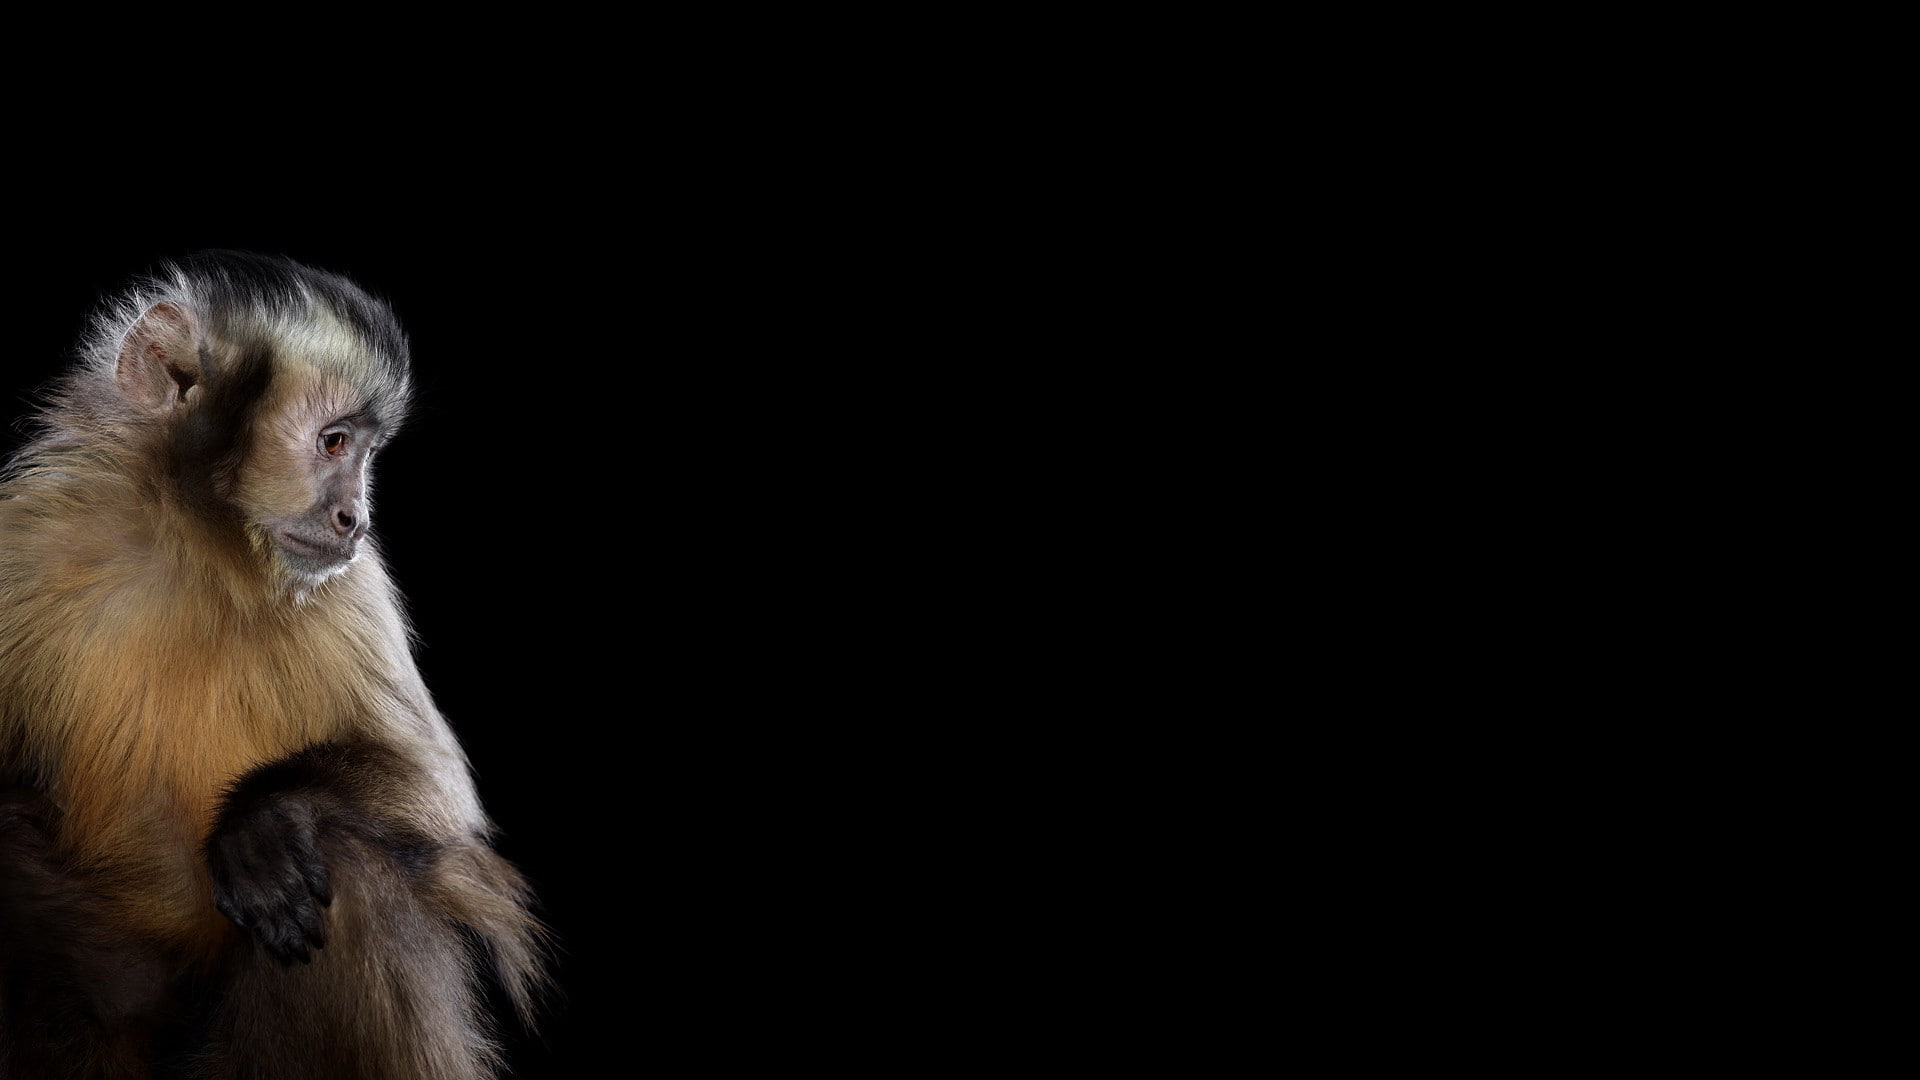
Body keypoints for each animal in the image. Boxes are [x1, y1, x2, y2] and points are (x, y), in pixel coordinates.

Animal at [0, 251, 548, 1079]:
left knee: (347, 868)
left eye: (365, 451)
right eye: (334, 443)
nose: (357, 518)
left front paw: (260, 820)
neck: (192, 543)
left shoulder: (352, 584)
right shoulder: (24, 541)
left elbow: (435, 790)